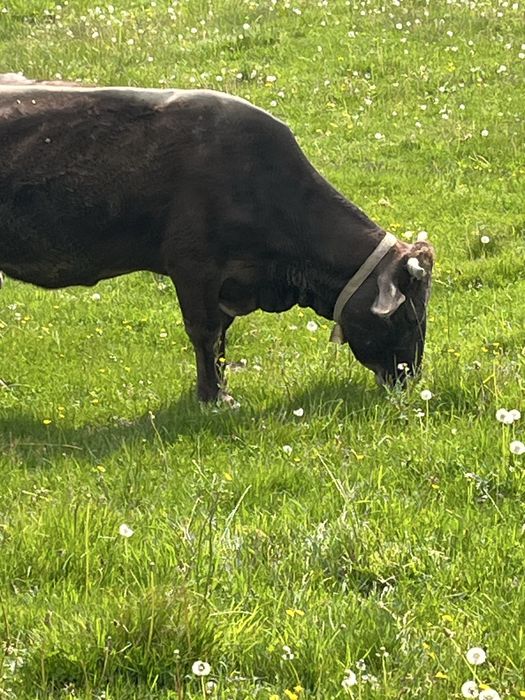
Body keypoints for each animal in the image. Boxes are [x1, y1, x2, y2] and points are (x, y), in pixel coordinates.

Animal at [0, 77, 434, 402]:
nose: (408, 379)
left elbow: (221, 337)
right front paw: (215, 398)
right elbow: (205, 333)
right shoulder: (194, 268)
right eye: (410, 315)